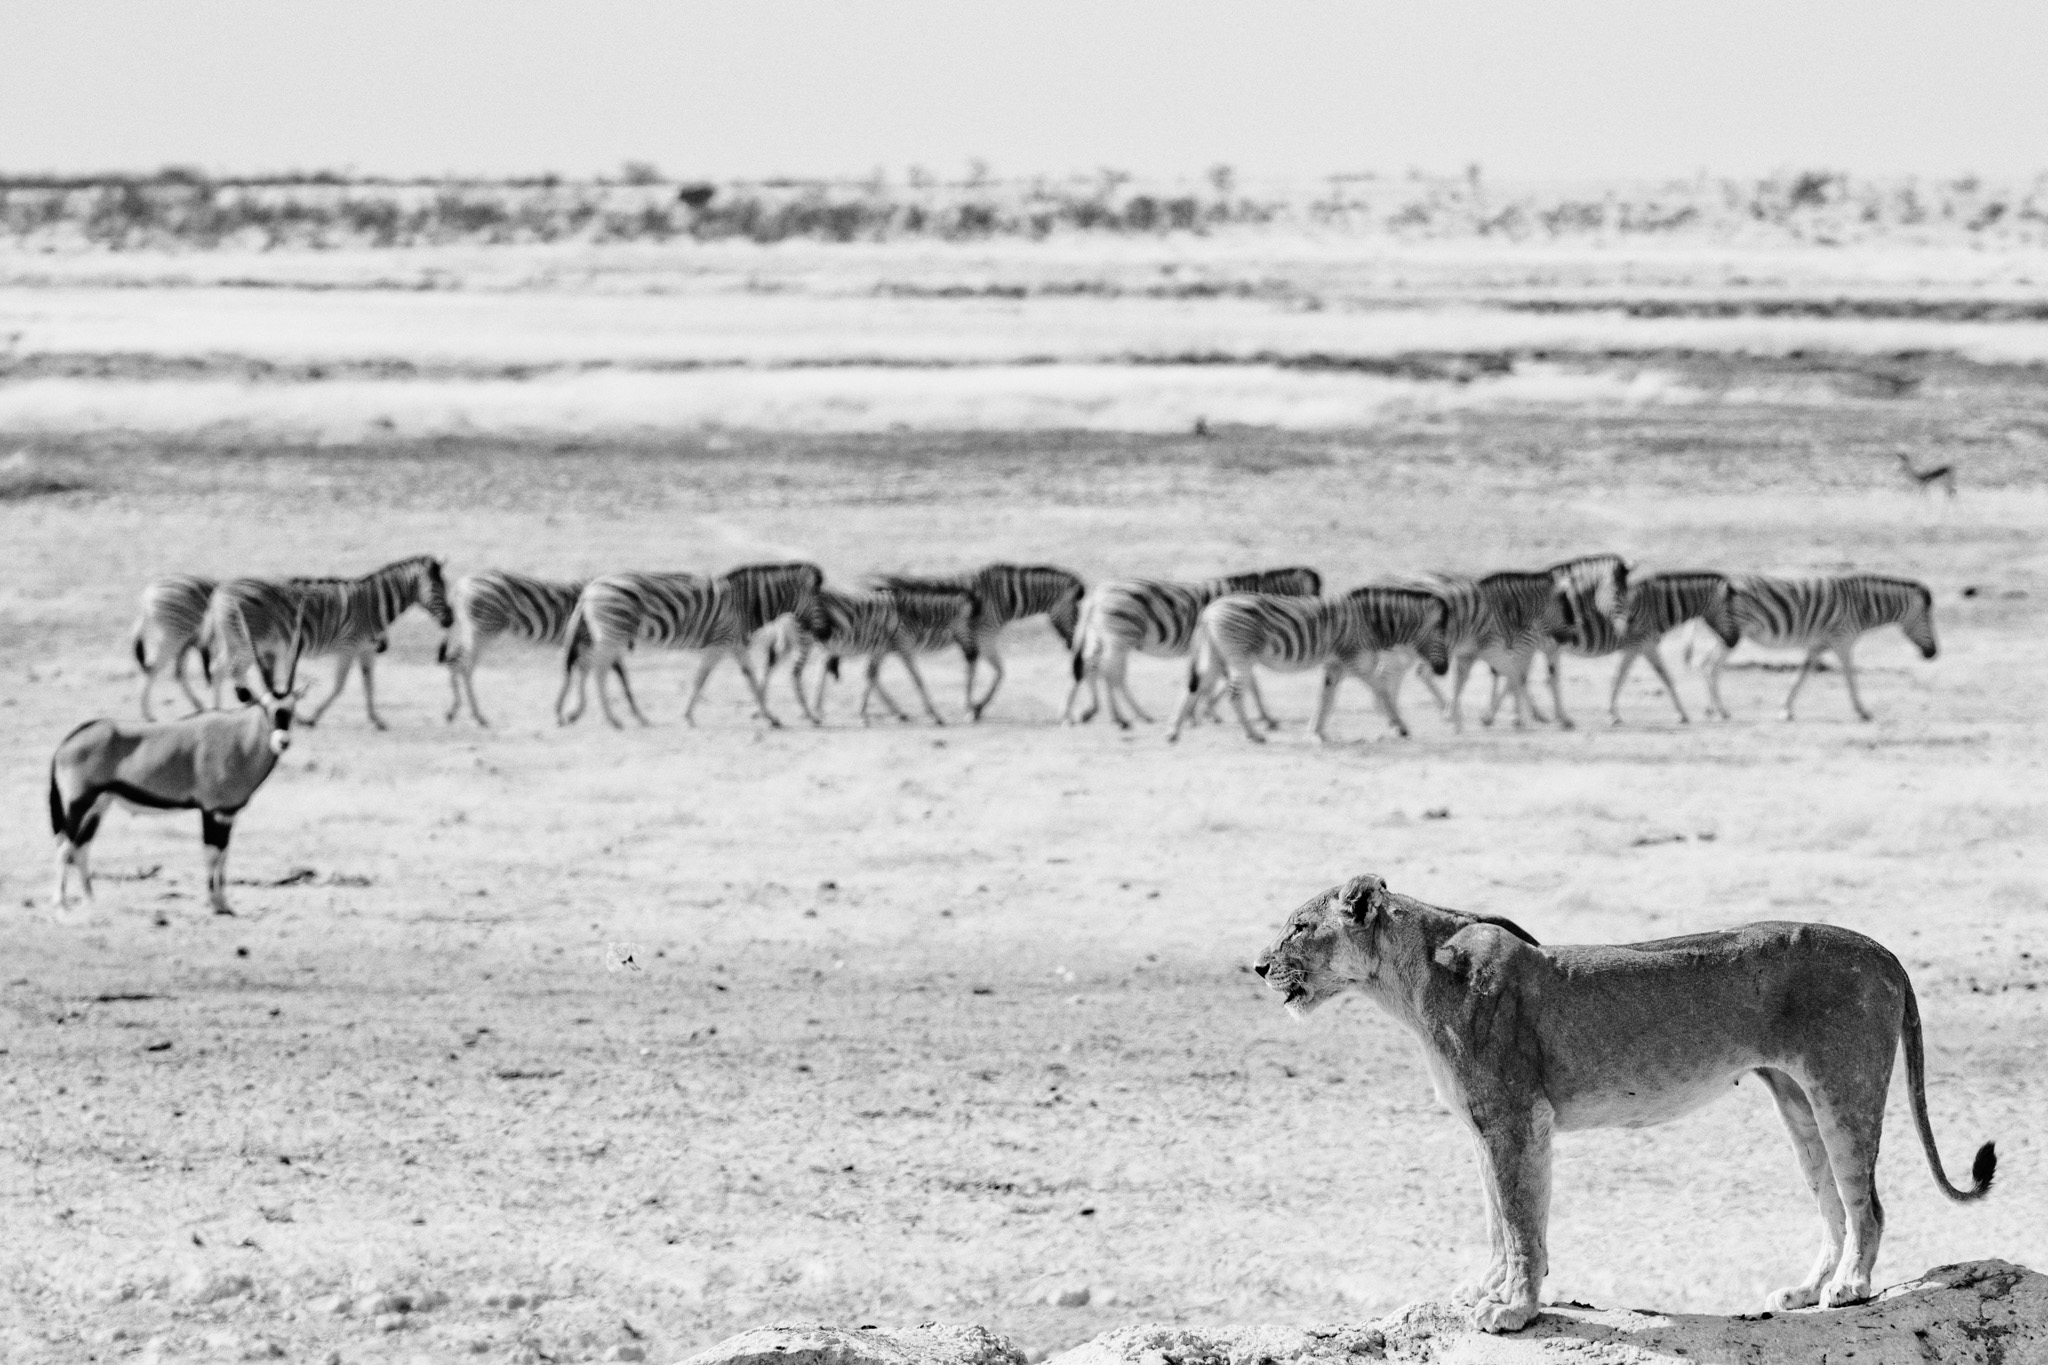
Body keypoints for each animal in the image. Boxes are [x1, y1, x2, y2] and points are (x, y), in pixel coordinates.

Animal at [1252, 873, 1997, 1333]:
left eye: (1298, 926)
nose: (1258, 966)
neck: (1412, 980)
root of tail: (1885, 950)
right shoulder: (1486, 1127)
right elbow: (1498, 1221)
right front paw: (1485, 1291)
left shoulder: (1516, 1120)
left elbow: (1521, 1222)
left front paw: (1514, 1311)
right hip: (1796, 1098)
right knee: (1833, 1203)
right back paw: (1806, 1289)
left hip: (1843, 1089)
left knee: (1867, 1202)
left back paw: (1850, 1288)